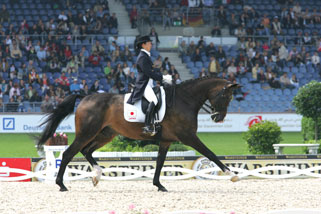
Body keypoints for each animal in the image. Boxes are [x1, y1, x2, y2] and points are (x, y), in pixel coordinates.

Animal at [36, 77, 239, 192]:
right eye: (225, 96)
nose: (218, 117)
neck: (184, 100)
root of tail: (85, 97)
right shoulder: (188, 137)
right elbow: (210, 153)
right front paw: (231, 174)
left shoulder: (166, 140)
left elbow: (159, 162)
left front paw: (159, 185)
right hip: (87, 132)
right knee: (68, 153)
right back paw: (61, 184)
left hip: (105, 134)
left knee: (86, 151)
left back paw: (97, 175)